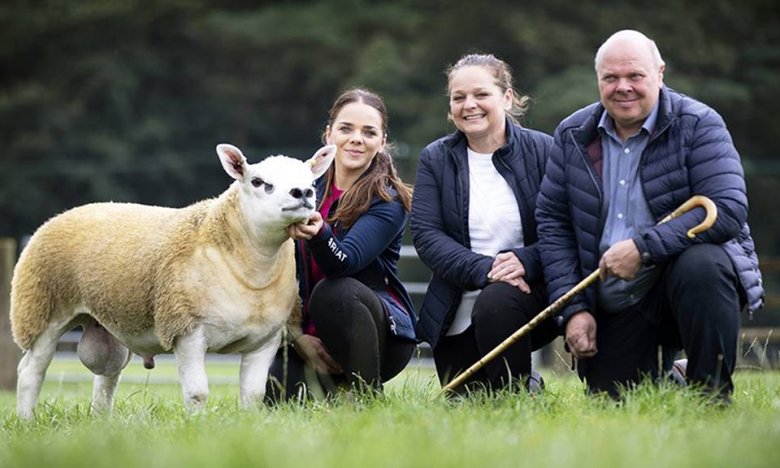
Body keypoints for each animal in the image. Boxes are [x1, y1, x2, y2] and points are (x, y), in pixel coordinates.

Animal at [9, 142, 336, 416]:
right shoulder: (186, 329)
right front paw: (197, 427)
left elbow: (253, 395)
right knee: (30, 372)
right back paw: (27, 420)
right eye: (258, 182)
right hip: (41, 311)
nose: (302, 193)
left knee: (106, 377)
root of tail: (64, 214)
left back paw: (102, 422)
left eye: (310, 181)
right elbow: (197, 393)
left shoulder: (265, 339)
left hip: (109, 322)